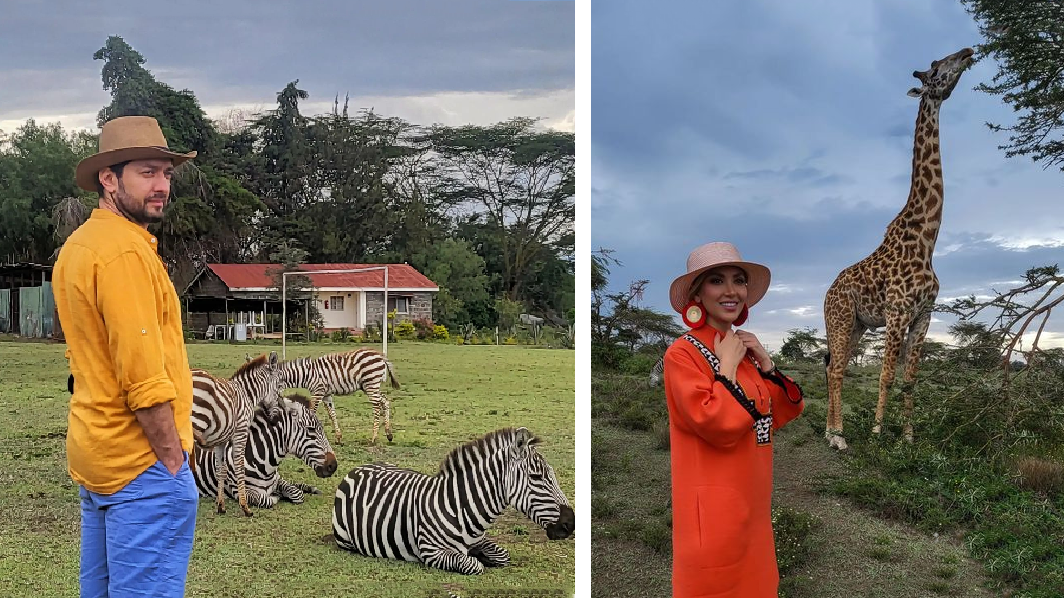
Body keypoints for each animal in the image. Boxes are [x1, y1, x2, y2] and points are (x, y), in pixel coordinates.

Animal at [189, 351, 285, 515]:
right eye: (279, 386)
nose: (276, 418)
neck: (247, 394)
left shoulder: (220, 440)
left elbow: (220, 469)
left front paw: (220, 506)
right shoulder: (241, 432)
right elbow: (239, 466)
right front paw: (245, 507)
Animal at [193, 391, 338, 506]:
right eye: (311, 430)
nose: (333, 466)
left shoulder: (277, 479)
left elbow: (297, 493)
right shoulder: (239, 491)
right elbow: (267, 499)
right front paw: (278, 495)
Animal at [246, 349, 400, 442]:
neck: (305, 375)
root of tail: (380, 355)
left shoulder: (318, 392)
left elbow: (311, 412)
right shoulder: (326, 395)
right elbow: (332, 414)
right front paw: (338, 437)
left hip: (371, 384)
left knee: (377, 406)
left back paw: (373, 437)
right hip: (369, 386)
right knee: (385, 401)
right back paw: (389, 434)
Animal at [331, 423, 578, 574]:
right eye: (537, 477)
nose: (571, 524)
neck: (461, 506)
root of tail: (357, 468)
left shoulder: (481, 540)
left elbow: (502, 555)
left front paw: (486, 556)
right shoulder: (431, 551)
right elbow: (472, 564)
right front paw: (478, 559)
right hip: (346, 539)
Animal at [821, 46, 974, 446]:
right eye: (936, 68)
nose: (967, 52)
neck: (927, 239)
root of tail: (827, 292)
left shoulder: (924, 315)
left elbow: (910, 379)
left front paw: (907, 436)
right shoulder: (896, 312)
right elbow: (887, 375)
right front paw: (877, 432)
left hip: (857, 325)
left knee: (833, 366)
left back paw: (829, 429)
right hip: (840, 317)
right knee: (837, 369)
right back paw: (839, 435)